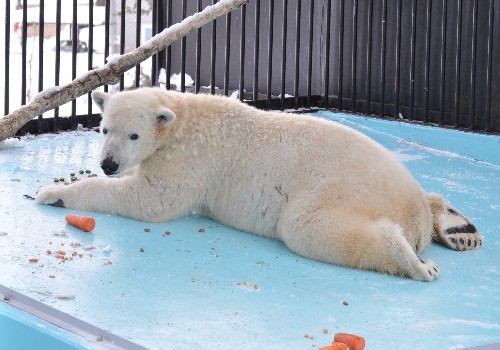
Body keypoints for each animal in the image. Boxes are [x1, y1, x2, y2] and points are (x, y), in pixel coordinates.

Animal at [35, 87, 480, 282]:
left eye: (134, 135)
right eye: (104, 128)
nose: (108, 163)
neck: (185, 118)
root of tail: (412, 214)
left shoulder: (191, 159)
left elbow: (151, 200)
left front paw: (53, 193)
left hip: (339, 190)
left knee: (310, 229)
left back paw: (415, 262)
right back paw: (458, 227)